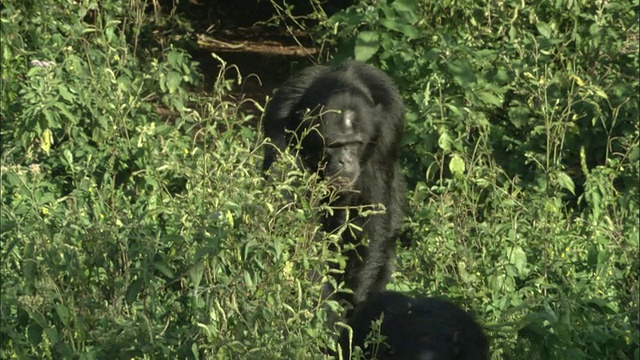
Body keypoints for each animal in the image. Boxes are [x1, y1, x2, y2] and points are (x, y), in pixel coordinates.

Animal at [262, 60, 404, 306]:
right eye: (334, 145)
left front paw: (354, 298)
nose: (345, 160)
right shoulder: (281, 126)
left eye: (356, 143)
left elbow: (372, 213)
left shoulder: (388, 128)